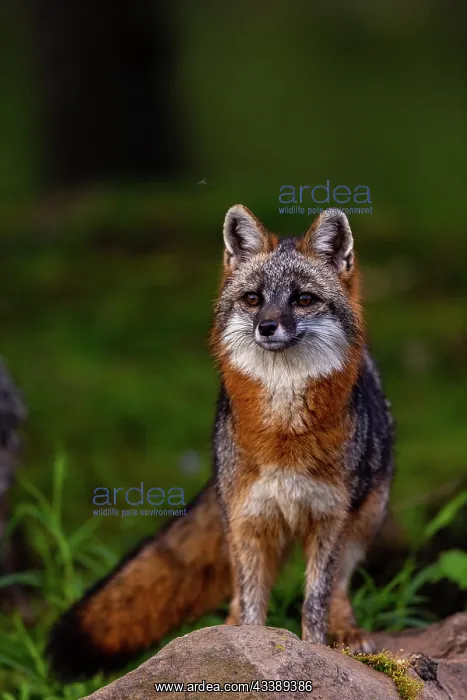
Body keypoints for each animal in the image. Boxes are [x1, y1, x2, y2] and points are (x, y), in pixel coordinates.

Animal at [47, 206, 394, 682]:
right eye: (253, 299)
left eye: (303, 299)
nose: (267, 327)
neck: (284, 435)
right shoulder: (248, 519)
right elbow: (250, 604)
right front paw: (241, 650)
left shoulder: (329, 519)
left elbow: (315, 602)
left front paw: (317, 650)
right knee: (239, 591)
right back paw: (221, 630)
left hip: (365, 519)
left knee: (340, 585)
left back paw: (348, 631)